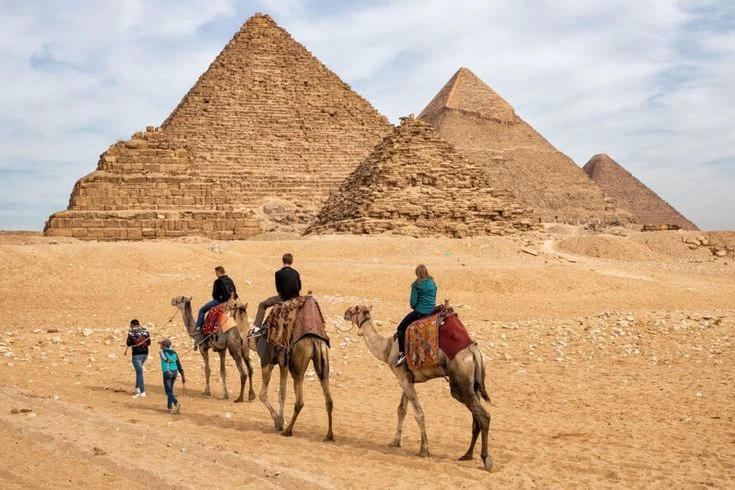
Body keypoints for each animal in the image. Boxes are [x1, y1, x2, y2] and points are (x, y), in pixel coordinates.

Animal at [231, 300, 334, 442]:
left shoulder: (267, 362)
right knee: (329, 399)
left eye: (232, 306)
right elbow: (282, 393)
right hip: (323, 358)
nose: (226, 308)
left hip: (297, 367)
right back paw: (329, 435)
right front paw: (280, 419)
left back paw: (288, 430)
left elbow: (263, 394)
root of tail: (314, 340)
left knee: (300, 400)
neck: (253, 340)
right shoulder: (283, 364)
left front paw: (278, 421)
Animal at [344, 306, 494, 470]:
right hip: (473, 385)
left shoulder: (402, 377)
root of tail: (474, 352)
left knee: (483, 416)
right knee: (476, 418)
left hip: (460, 383)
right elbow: (401, 410)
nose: (345, 313)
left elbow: (418, 413)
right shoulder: (406, 378)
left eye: (354, 309)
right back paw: (467, 455)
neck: (387, 348)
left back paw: (485, 458)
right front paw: (395, 442)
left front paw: (424, 450)